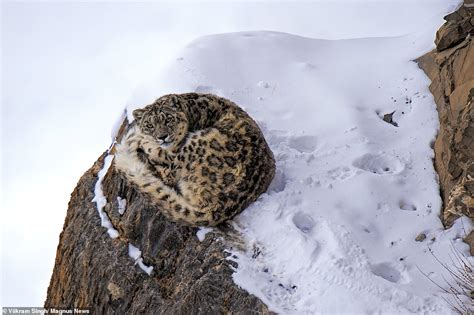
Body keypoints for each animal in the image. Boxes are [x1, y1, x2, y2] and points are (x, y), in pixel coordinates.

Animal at [113, 93, 276, 227]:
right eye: (149, 125)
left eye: (168, 119)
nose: (162, 136)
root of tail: (217, 208)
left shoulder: (173, 151)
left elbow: (157, 152)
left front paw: (143, 140)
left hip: (194, 144)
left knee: (168, 175)